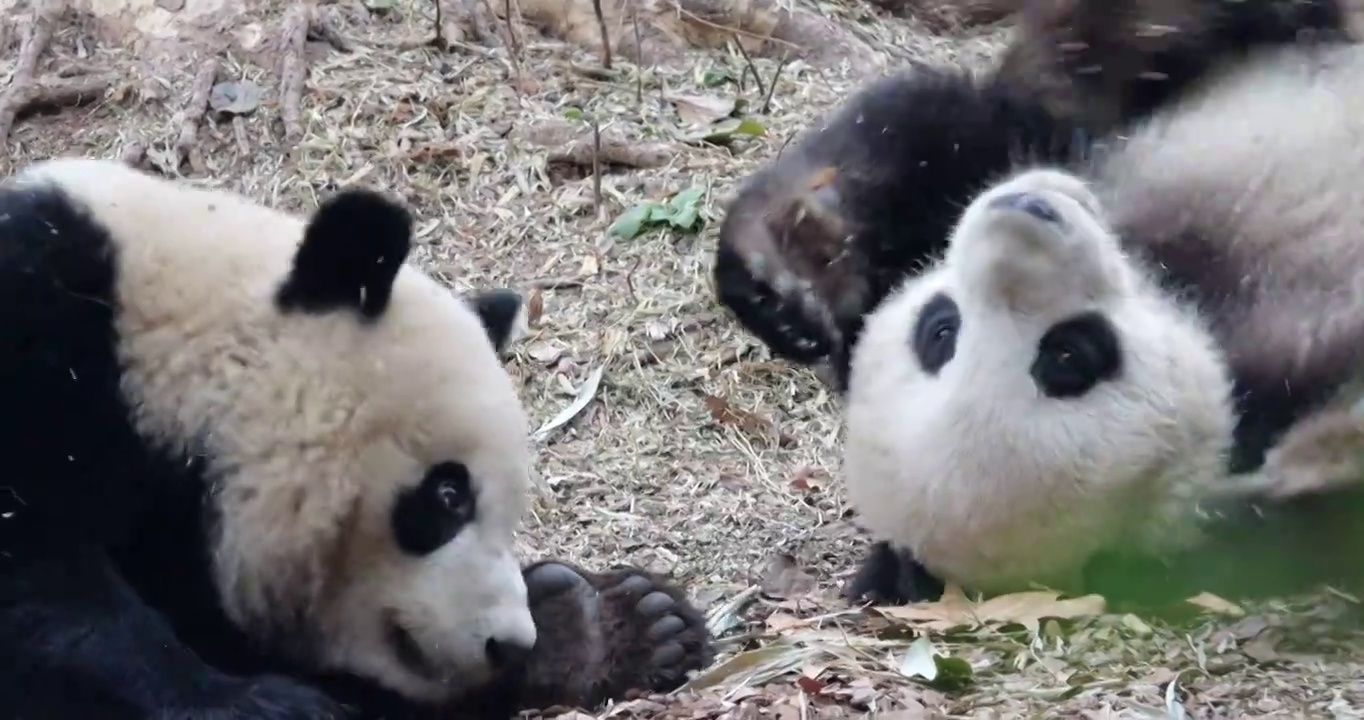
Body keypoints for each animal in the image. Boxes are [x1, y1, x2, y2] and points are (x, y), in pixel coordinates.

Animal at [0, 158, 720, 720]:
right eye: (449, 496)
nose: (508, 643)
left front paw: (615, 622)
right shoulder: (45, 352)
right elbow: (43, 598)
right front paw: (260, 704)